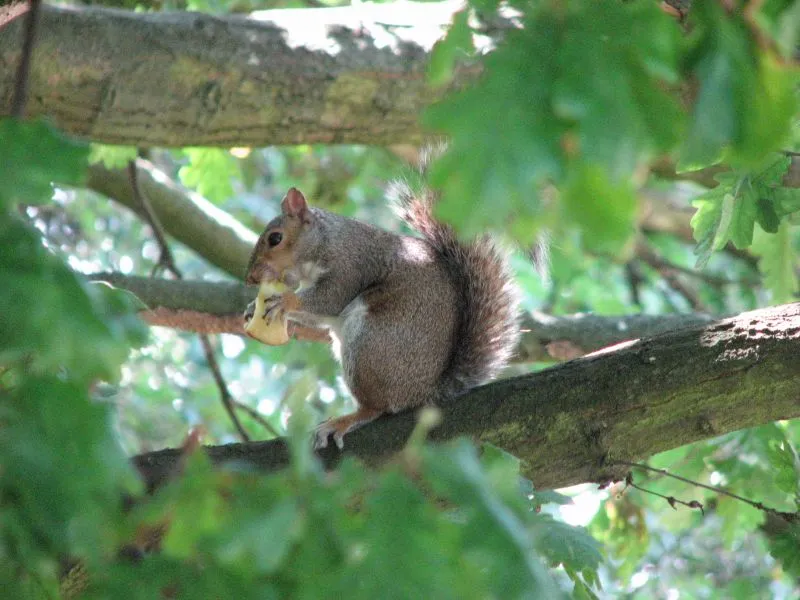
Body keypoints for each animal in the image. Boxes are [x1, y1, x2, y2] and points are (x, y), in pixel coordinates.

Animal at [244, 155, 520, 450]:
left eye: (275, 238)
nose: (250, 278)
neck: (326, 240)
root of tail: (423, 393)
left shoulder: (350, 266)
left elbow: (329, 299)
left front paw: (283, 301)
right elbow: (318, 316)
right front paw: (252, 309)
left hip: (370, 345)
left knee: (378, 407)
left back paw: (344, 420)